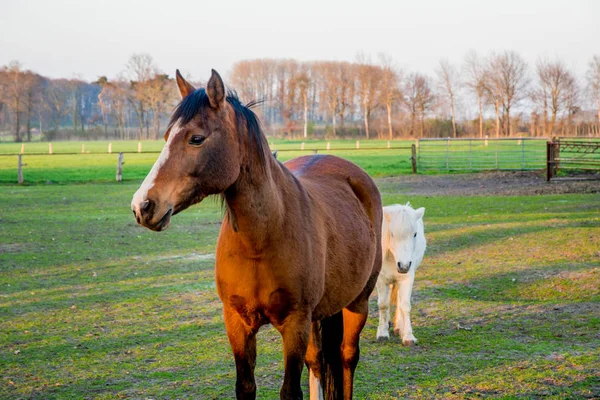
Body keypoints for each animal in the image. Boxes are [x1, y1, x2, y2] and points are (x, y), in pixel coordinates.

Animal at [133, 70, 382, 398]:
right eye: (165, 138)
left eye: (196, 138)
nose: (142, 205)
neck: (260, 240)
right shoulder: (237, 323)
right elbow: (246, 385)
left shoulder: (295, 323)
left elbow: (290, 390)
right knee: (318, 361)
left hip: (357, 303)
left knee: (346, 359)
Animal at [378, 203, 424, 344]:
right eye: (392, 234)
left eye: (415, 234)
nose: (403, 265)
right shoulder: (380, 280)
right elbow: (383, 304)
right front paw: (382, 333)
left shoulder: (406, 279)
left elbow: (405, 306)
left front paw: (408, 335)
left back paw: (399, 326)